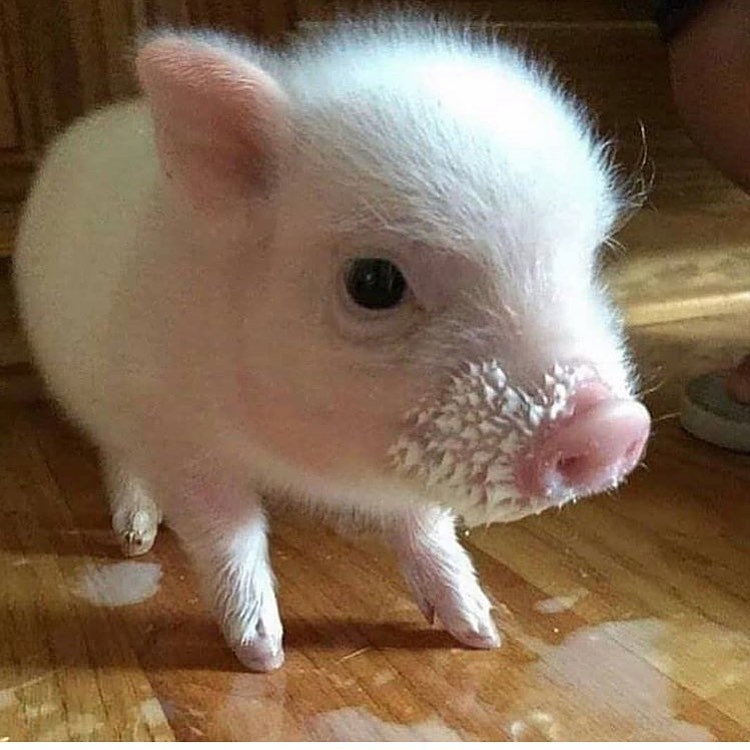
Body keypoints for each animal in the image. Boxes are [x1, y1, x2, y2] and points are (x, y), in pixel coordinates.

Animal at [13, 15, 651, 672]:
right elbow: (227, 534)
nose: (613, 427)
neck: (299, 464)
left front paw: (478, 631)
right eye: (373, 282)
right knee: (118, 456)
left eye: (591, 258)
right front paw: (263, 656)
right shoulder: (179, 436)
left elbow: (424, 523)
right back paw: (137, 537)